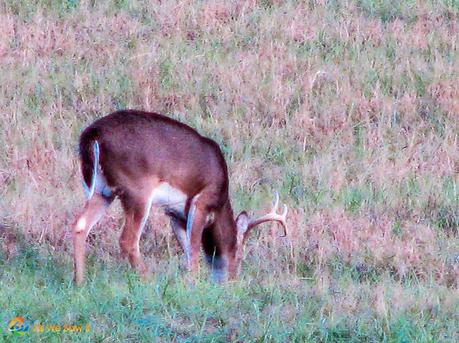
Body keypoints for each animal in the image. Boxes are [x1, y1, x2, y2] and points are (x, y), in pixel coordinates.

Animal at [72, 110, 288, 284]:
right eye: (240, 255)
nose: (231, 281)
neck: (220, 201)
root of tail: (91, 136)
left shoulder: (175, 213)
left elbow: (186, 249)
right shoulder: (202, 201)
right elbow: (194, 248)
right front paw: (193, 284)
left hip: (99, 189)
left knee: (80, 226)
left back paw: (79, 282)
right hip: (137, 190)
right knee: (128, 240)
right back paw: (148, 281)